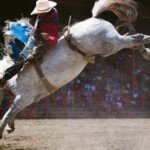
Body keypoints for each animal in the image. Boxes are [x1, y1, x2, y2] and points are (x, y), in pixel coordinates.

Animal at [0, 0, 150, 139]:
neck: (13, 73)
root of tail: (95, 18)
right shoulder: (27, 100)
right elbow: (13, 113)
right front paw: (10, 127)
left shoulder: (23, 97)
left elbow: (7, 114)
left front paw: (3, 130)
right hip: (110, 48)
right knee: (134, 38)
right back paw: (145, 52)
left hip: (112, 43)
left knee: (137, 38)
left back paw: (147, 48)